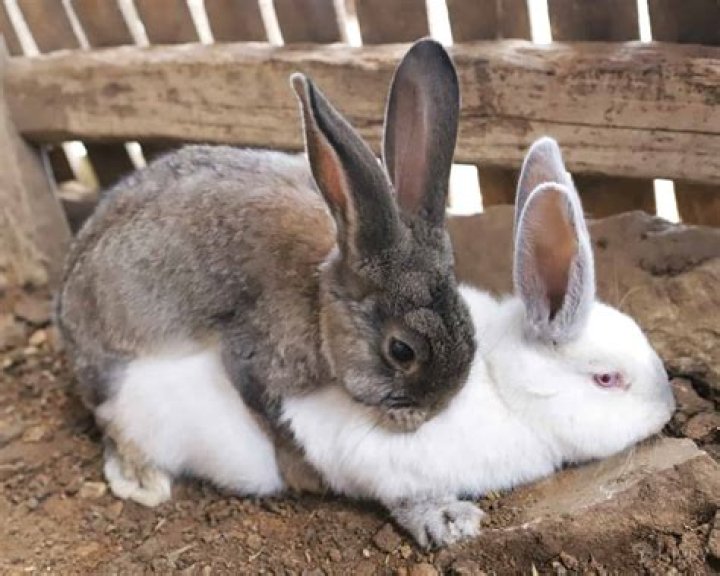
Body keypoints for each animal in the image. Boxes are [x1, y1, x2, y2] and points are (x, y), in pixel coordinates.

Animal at [55, 39, 476, 508]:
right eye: (401, 350)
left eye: (468, 320)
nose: (435, 409)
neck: (319, 303)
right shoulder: (254, 356)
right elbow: (274, 419)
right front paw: (302, 474)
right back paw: (143, 482)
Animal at [280, 137, 677, 547]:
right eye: (606, 379)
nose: (669, 406)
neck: (503, 386)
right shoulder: (370, 453)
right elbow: (404, 494)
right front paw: (449, 522)